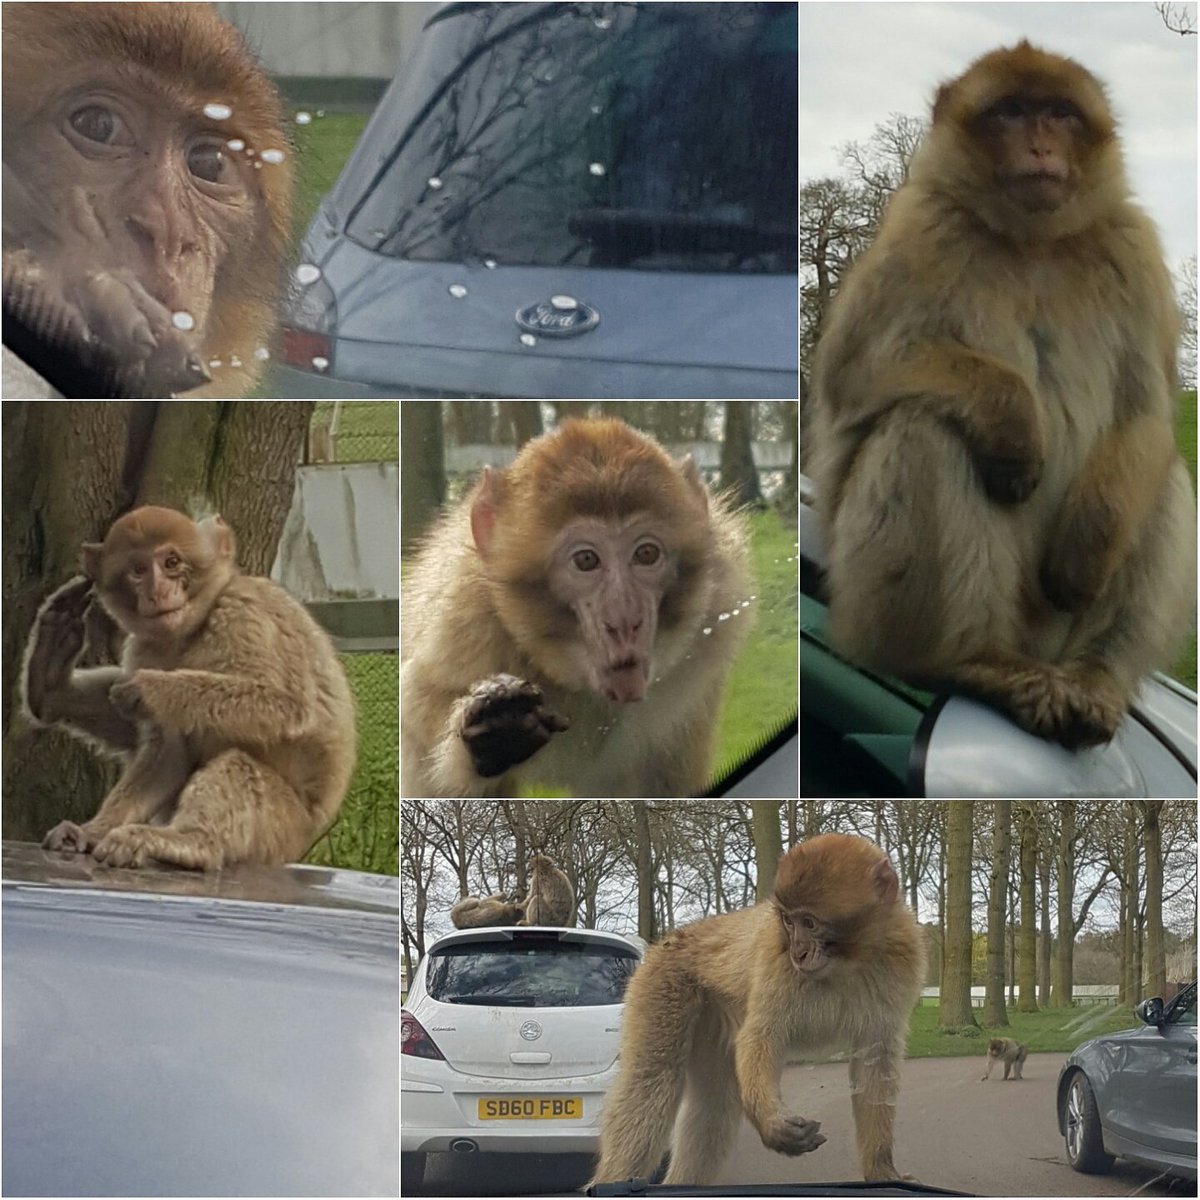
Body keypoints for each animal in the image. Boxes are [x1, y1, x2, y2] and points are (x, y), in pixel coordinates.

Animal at [23, 506, 356, 870]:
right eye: (138, 570)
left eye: (172, 562)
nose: (156, 591)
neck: (196, 626)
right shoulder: (144, 649)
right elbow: (168, 753)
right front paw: (93, 831)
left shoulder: (244, 615)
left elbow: (287, 707)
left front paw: (153, 689)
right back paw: (50, 686)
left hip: (279, 831)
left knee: (237, 764)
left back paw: (190, 843)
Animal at [401, 417, 752, 798]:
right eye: (586, 560)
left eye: (646, 554)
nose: (624, 621)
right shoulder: (459, 629)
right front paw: (498, 732)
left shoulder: (714, 625)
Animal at [591, 833, 926, 1186]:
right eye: (789, 921)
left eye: (810, 923)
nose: (798, 952)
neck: (846, 963)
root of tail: (668, 940)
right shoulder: (775, 957)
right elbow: (762, 1036)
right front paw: (772, 1123)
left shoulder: (903, 961)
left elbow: (875, 1059)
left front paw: (882, 1169)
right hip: (664, 983)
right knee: (652, 1079)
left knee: (714, 1104)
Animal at [808, 42, 1196, 750]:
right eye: (1011, 111)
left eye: (1060, 113)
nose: (1041, 146)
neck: (1035, 239)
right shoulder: (921, 228)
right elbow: (855, 373)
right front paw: (1014, 423)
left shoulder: (1133, 249)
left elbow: (1148, 410)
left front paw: (1085, 549)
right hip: (869, 599)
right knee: (922, 429)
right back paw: (974, 661)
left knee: (1162, 478)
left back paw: (1096, 678)